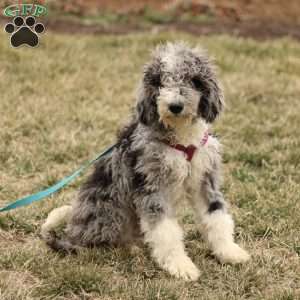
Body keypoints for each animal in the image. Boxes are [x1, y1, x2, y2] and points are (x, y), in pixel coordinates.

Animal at [41, 42, 250, 282]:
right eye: (159, 81)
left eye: (193, 79)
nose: (175, 106)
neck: (182, 138)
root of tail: (71, 231)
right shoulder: (151, 187)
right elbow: (165, 231)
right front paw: (180, 265)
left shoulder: (205, 180)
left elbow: (216, 216)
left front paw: (229, 252)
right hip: (109, 210)